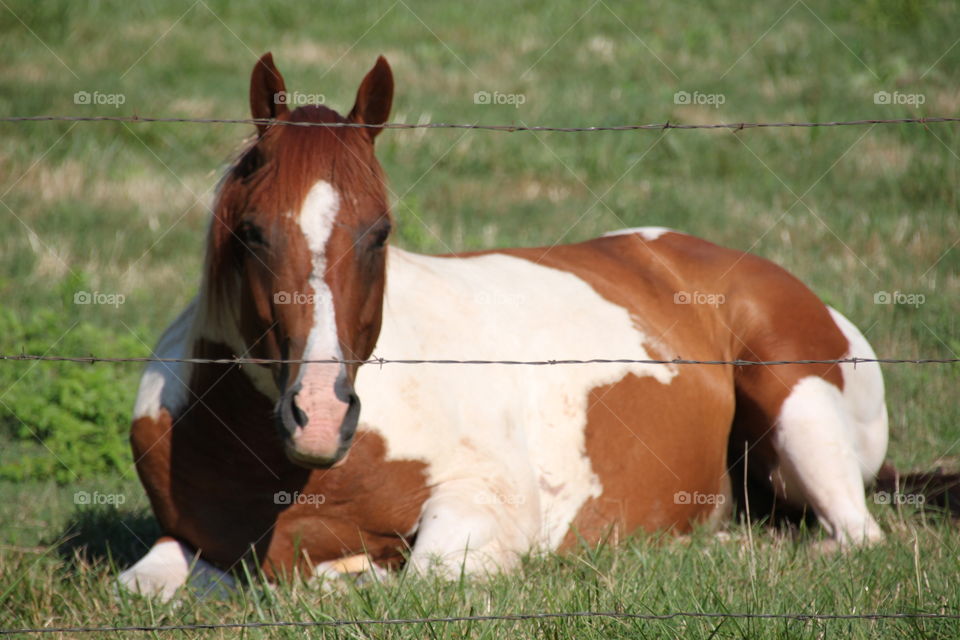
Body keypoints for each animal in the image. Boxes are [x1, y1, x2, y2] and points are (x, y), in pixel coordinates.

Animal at [119, 52, 888, 599]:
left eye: (379, 232)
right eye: (251, 233)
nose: (319, 416)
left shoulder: (485, 508)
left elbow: (414, 574)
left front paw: (354, 573)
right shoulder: (186, 543)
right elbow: (145, 585)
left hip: (799, 409)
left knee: (856, 535)